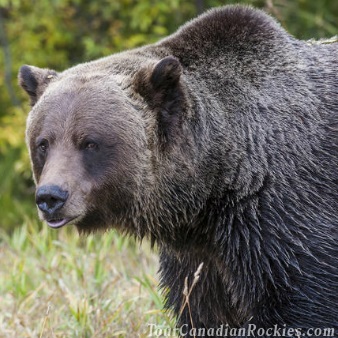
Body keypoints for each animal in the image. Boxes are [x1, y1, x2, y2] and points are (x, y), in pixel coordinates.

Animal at [19, 5, 338, 338]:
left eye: (89, 142)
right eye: (43, 143)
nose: (51, 196)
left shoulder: (284, 215)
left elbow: (299, 302)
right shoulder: (201, 258)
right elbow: (202, 310)